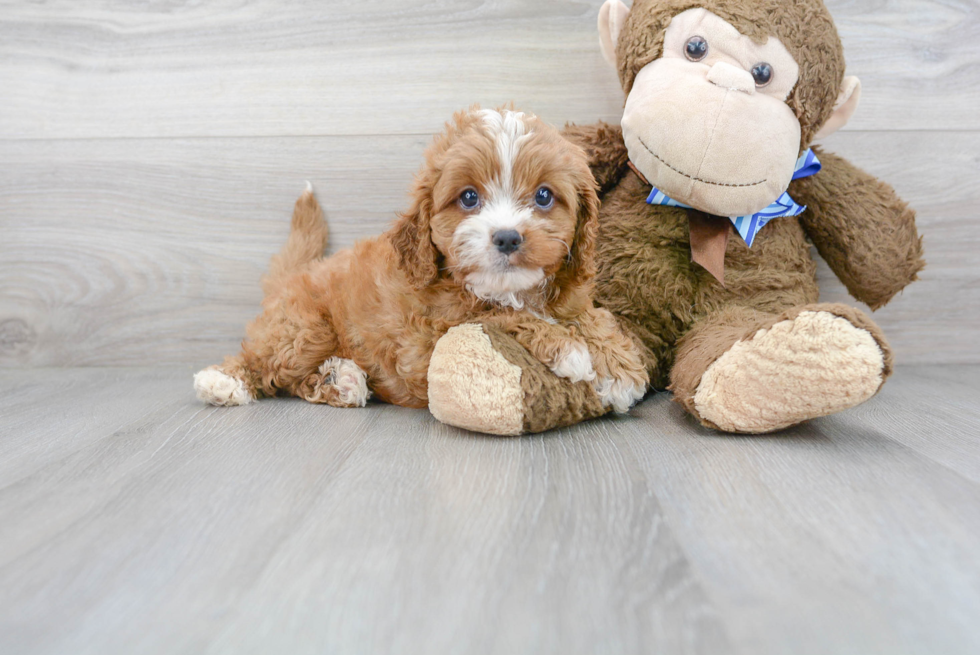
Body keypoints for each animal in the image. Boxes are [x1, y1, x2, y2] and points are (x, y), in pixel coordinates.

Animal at [194, 107, 648, 416]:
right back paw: (224, 381)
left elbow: (590, 317)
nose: (506, 237)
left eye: (544, 196)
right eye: (469, 197)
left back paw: (340, 381)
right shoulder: (430, 336)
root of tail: (297, 274)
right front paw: (568, 348)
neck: (512, 289)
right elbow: (498, 316)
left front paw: (618, 368)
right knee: (267, 362)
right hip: (305, 328)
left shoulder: (568, 295)